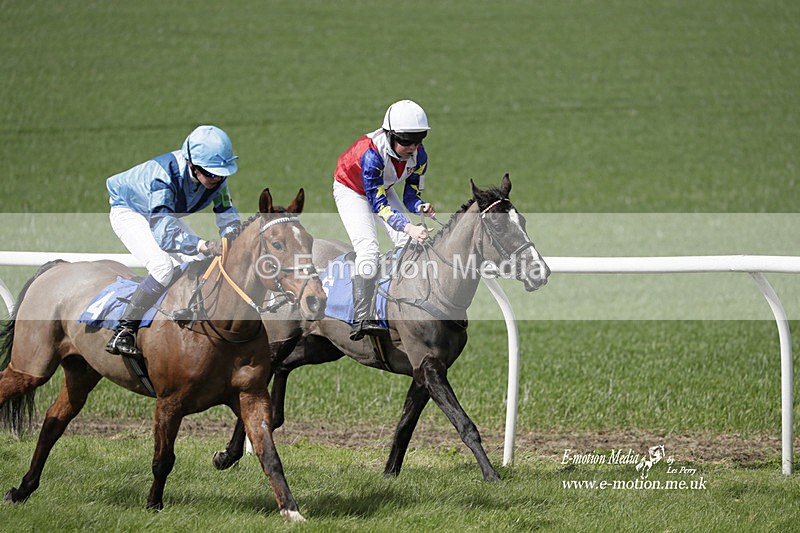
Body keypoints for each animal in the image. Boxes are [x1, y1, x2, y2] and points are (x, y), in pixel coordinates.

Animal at [0, 188, 326, 522]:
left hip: (81, 371)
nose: (316, 299)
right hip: (31, 367)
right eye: (277, 244)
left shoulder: (250, 395)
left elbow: (269, 454)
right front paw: (153, 505)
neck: (221, 323)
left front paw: (291, 510)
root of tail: (59, 266)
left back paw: (23, 489)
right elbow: (163, 459)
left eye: (309, 241)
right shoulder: (169, 401)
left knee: (53, 422)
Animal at [213, 174, 551, 481]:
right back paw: (229, 454)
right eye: (499, 226)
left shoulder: (424, 370)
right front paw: (491, 475)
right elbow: (463, 423)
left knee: (284, 368)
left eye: (521, 220)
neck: (435, 284)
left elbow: (405, 424)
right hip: (280, 338)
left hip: (322, 346)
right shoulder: (430, 366)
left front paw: (390, 473)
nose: (540, 271)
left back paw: (267, 424)